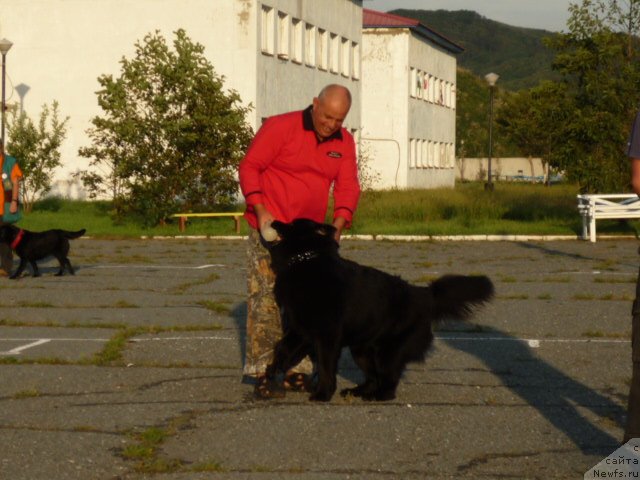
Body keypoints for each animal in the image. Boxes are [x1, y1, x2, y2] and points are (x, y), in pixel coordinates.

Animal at [264, 218, 496, 402]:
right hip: (362, 351)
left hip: (388, 353)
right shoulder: (300, 330)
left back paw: (377, 396)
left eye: (293, 223)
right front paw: (272, 372)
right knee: (373, 377)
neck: (307, 260)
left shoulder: (327, 337)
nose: (273, 221)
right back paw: (359, 391)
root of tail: (425, 294)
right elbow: (281, 349)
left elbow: (325, 366)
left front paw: (323, 394)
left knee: (388, 381)